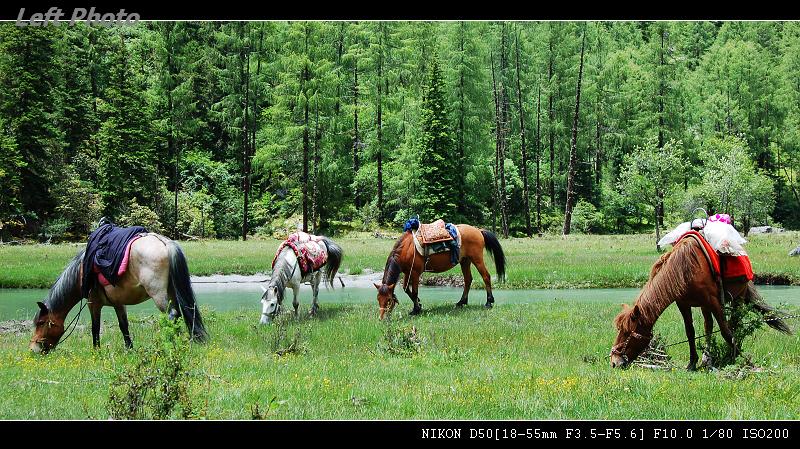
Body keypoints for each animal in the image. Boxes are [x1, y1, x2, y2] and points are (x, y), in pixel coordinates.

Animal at [29, 233, 208, 352]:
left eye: (41, 323)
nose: (33, 348)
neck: (82, 271)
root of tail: (164, 243)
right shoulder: (118, 303)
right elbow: (124, 326)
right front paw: (129, 349)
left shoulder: (93, 303)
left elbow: (95, 327)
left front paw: (96, 351)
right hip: (172, 293)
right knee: (181, 314)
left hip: (158, 295)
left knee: (172, 314)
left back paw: (169, 343)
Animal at [376, 224, 506, 318]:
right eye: (378, 299)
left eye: (388, 300)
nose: (382, 318)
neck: (407, 249)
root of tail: (478, 230)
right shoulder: (408, 272)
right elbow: (406, 289)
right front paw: (419, 304)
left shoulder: (415, 273)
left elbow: (415, 291)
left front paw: (416, 309)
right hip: (465, 261)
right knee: (468, 280)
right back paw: (461, 302)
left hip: (477, 259)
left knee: (486, 276)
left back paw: (489, 302)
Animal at [608, 234, 792, 368]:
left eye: (627, 333)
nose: (614, 362)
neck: (685, 269)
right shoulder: (683, 304)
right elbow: (691, 332)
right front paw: (692, 363)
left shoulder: (714, 302)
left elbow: (725, 332)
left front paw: (738, 358)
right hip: (706, 306)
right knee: (708, 326)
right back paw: (706, 359)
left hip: (737, 299)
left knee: (734, 325)